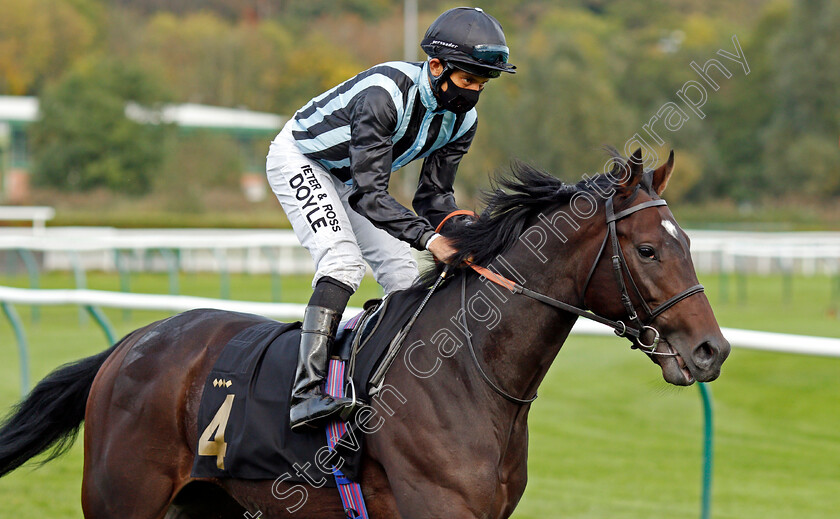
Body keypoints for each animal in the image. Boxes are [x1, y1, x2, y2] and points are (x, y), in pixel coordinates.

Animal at [0, 148, 728, 516]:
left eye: (689, 241)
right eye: (647, 250)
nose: (710, 350)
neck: (469, 372)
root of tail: (129, 345)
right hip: (125, 501)